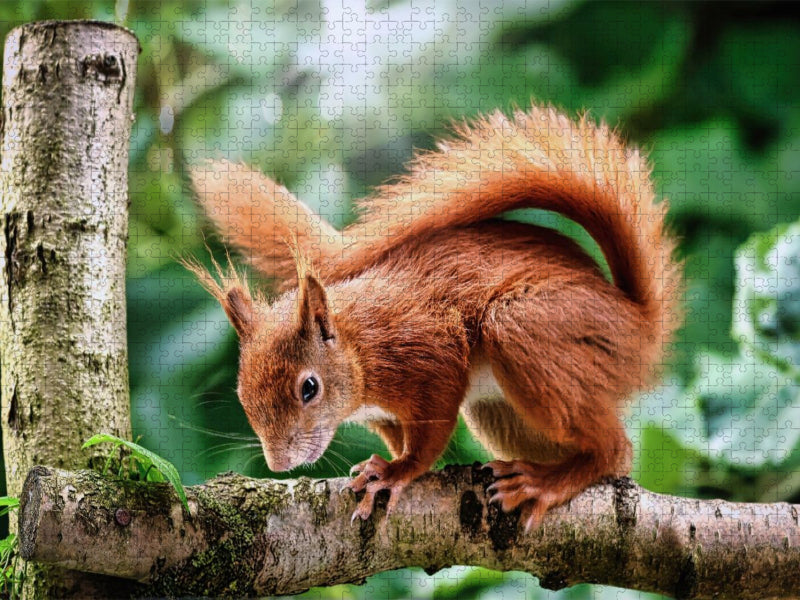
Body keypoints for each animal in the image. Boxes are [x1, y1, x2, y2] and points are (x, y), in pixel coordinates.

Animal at [186, 104, 681, 529]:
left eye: (309, 388)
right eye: (242, 393)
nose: (279, 464)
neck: (360, 345)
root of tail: (639, 326)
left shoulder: (430, 352)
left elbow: (430, 433)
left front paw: (397, 472)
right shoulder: (383, 411)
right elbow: (397, 435)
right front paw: (380, 462)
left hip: (526, 327)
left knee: (615, 451)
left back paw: (546, 484)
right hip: (502, 412)